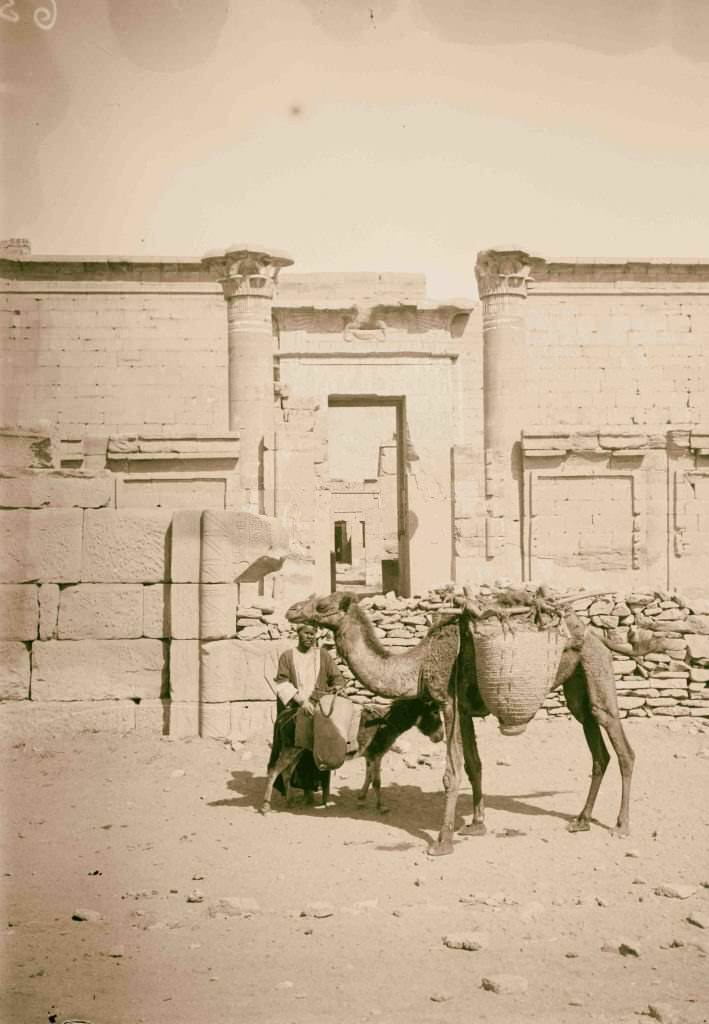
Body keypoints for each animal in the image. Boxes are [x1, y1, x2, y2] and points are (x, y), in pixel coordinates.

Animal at [259, 696, 442, 815]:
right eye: (434, 712)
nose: (440, 737)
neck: (385, 722)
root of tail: (285, 714)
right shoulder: (377, 755)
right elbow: (376, 782)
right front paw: (381, 807)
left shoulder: (370, 756)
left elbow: (368, 778)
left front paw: (361, 800)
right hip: (291, 749)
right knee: (274, 771)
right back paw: (266, 807)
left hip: (298, 750)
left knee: (286, 772)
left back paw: (289, 802)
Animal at [284, 593, 643, 856]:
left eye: (322, 605)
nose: (291, 610)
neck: (418, 665)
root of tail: (596, 635)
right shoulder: (466, 710)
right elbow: (474, 765)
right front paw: (476, 824)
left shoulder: (449, 702)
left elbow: (452, 771)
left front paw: (443, 841)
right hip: (577, 686)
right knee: (597, 746)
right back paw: (581, 820)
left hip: (596, 667)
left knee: (622, 746)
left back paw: (621, 825)